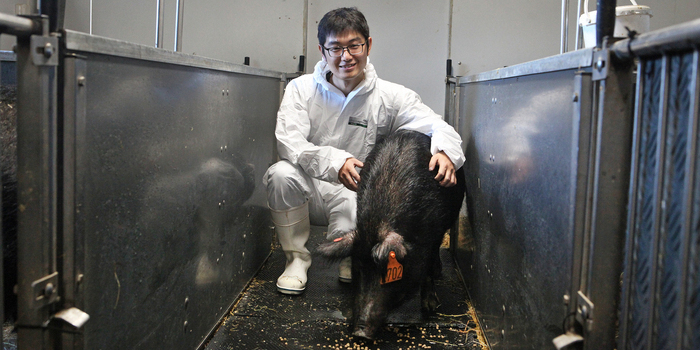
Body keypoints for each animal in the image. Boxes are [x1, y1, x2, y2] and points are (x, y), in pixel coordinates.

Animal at [318, 129, 464, 340]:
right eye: (358, 269)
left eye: (386, 273)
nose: (360, 333)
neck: (379, 222)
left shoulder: (433, 232)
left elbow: (428, 266)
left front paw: (430, 308)